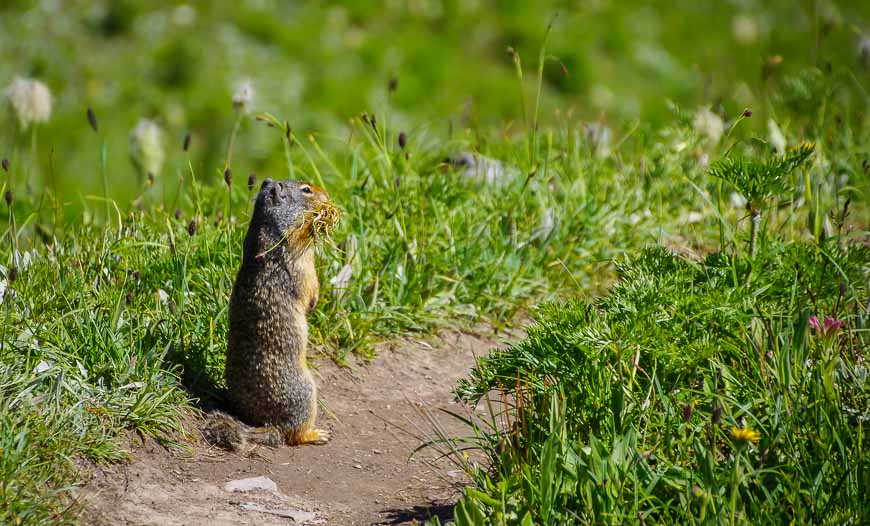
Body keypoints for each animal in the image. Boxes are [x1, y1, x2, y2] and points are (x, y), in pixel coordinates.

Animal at [204, 179, 338, 452]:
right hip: (305, 393)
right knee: (294, 436)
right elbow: (309, 285)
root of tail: (269, 424)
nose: (327, 195)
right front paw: (313, 304)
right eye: (306, 190)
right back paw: (316, 434)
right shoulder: (299, 262)